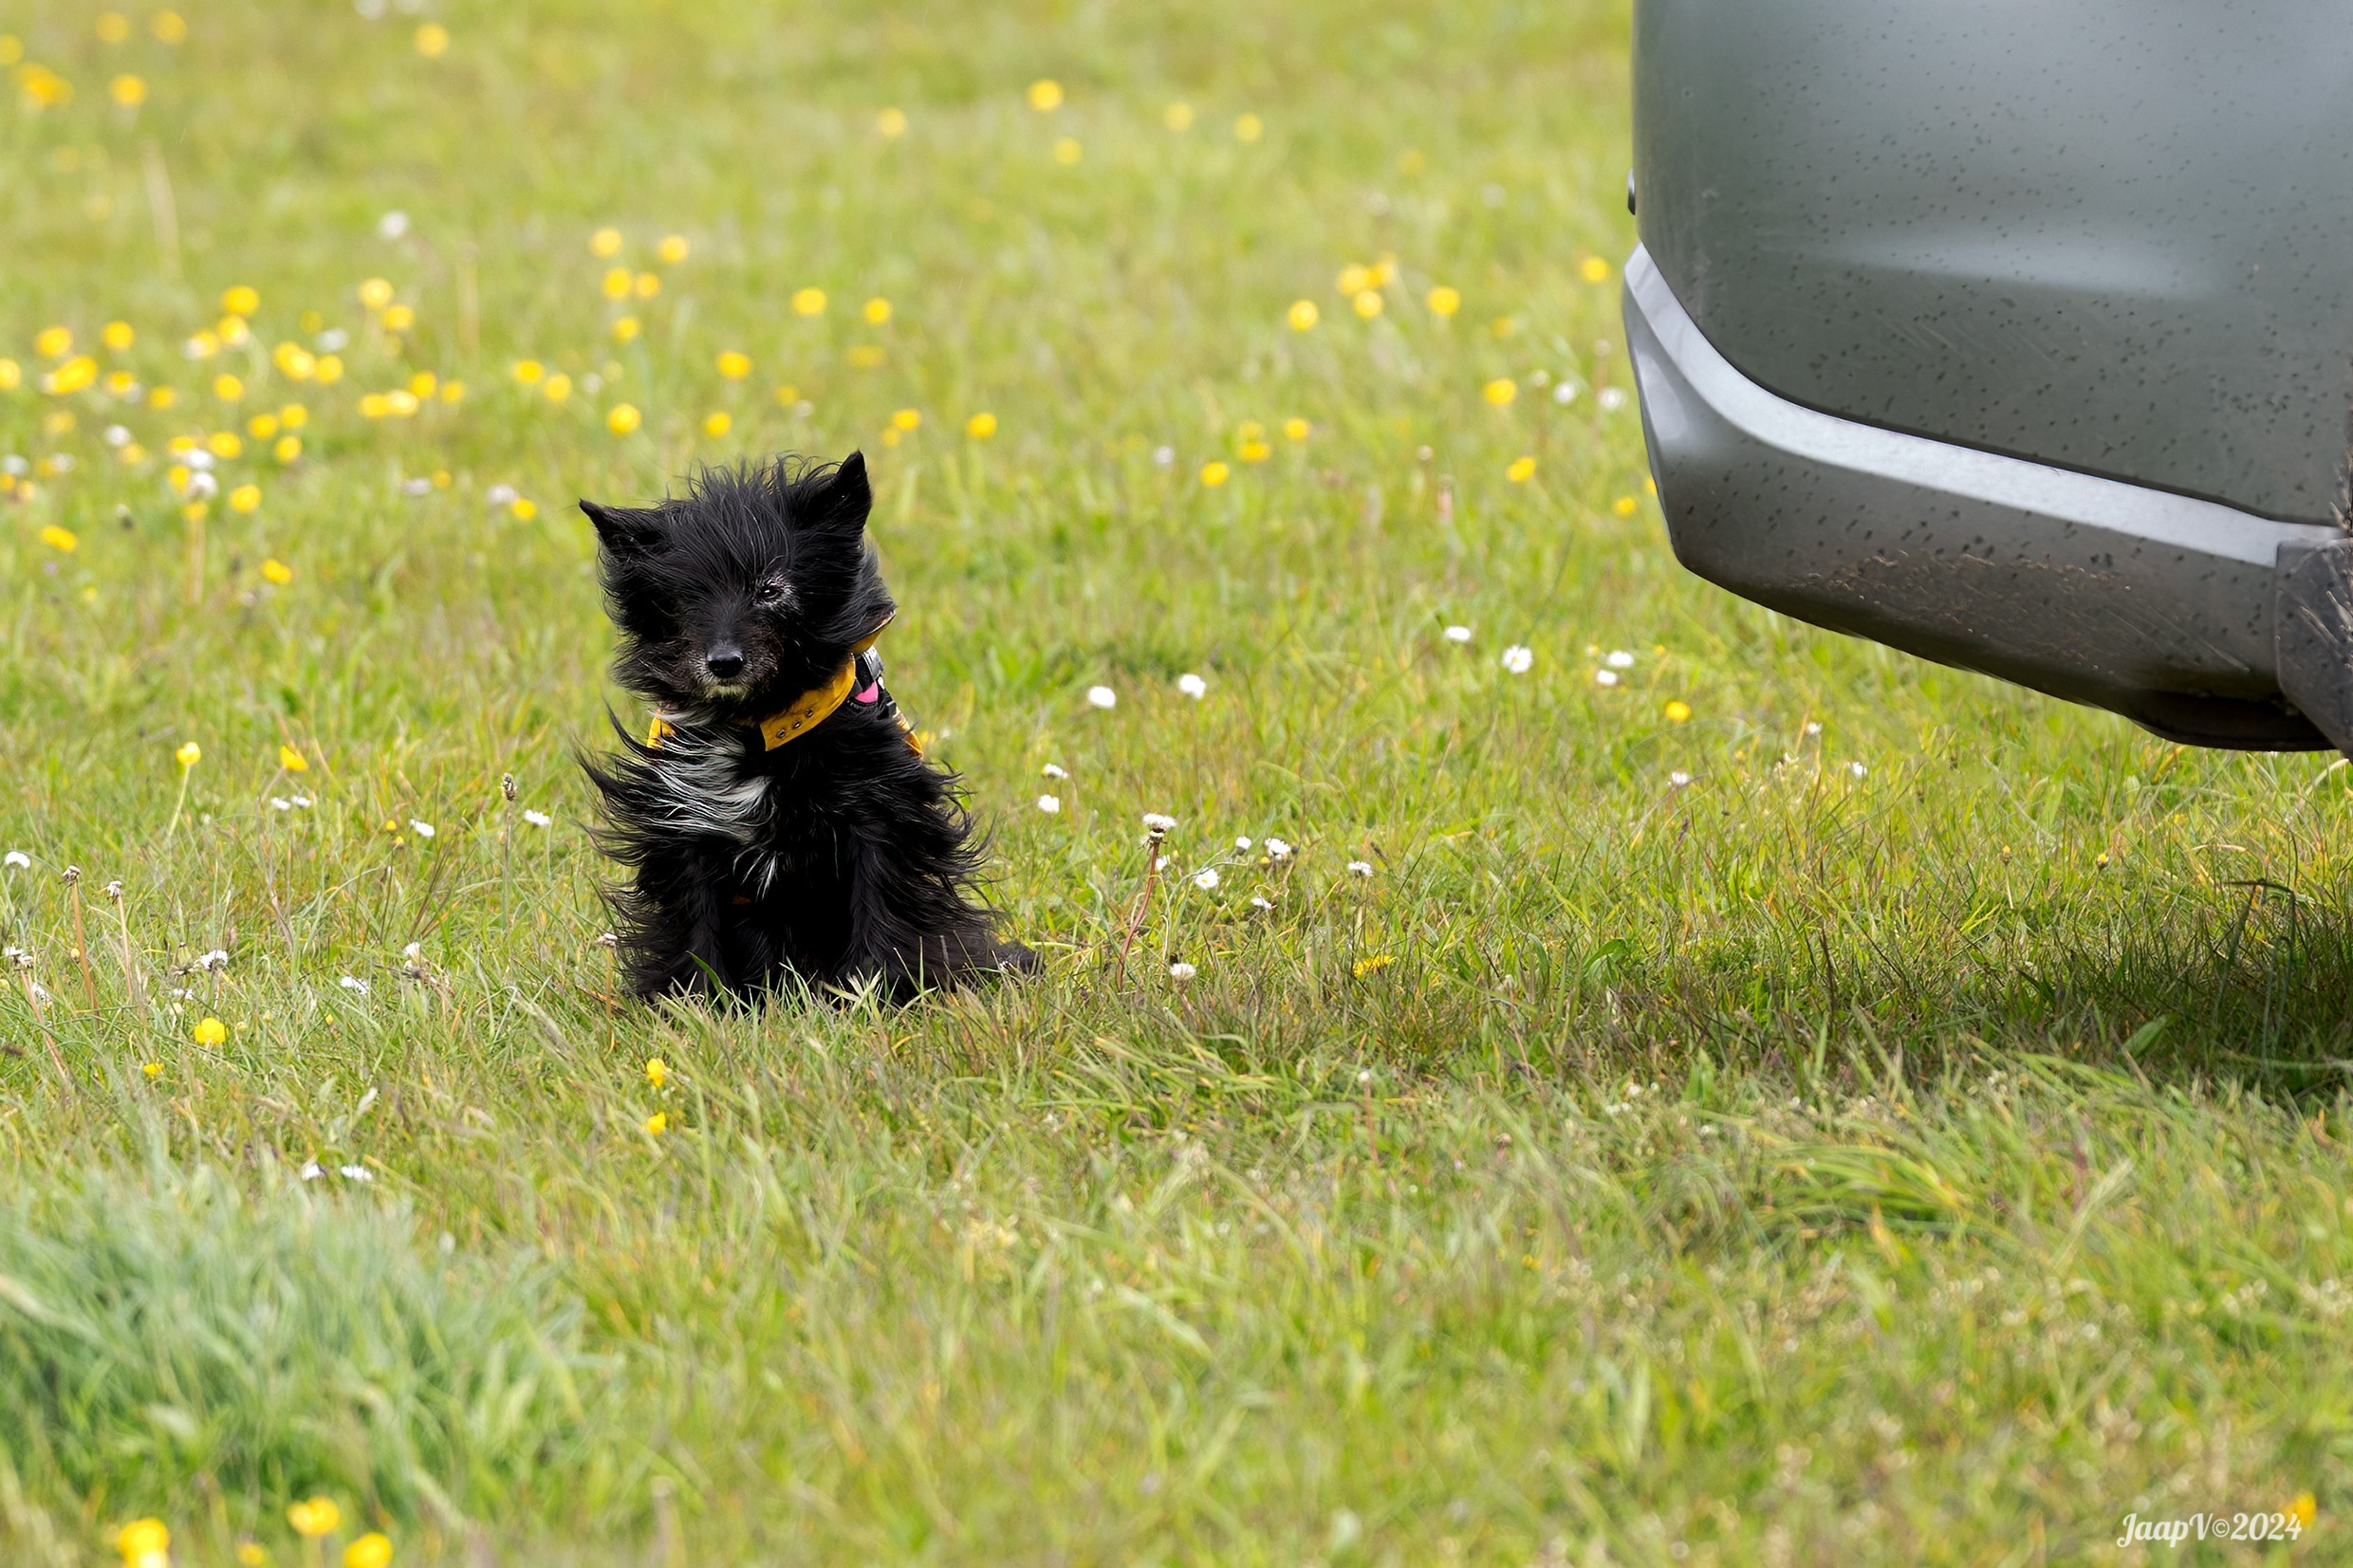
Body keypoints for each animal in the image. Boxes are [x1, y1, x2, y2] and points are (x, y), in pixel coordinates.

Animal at [576, 446, 1030, 1001]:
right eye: (684, 599)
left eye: (770, 590)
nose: (724, 663)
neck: (761, 728)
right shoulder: (685, 832)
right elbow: (696, 929)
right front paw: (696, 1002)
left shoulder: (879, 817)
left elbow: (882, 910)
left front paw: (877, 993)